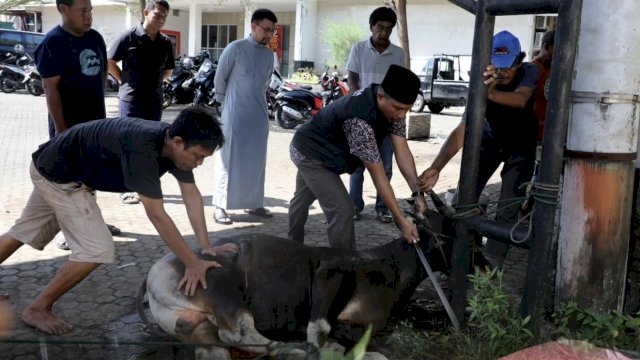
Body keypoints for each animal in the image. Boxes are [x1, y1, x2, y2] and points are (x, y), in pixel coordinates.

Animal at [144, 219, 456, 358]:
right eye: (446, 235)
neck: (391, 265)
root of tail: (155, 275)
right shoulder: (329, 271)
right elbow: (320, 331)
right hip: (225, 294)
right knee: (238, 332)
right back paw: (288, 349)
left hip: (196, 328)